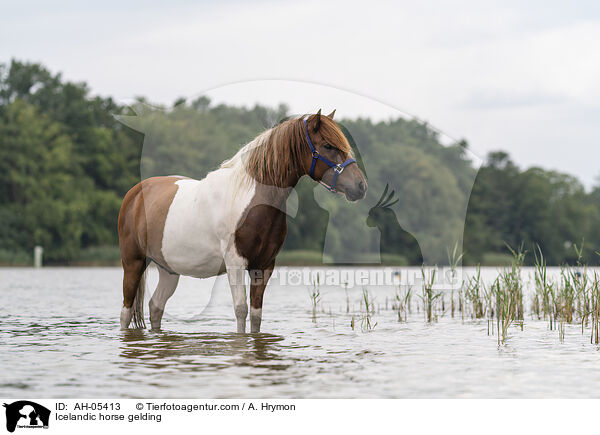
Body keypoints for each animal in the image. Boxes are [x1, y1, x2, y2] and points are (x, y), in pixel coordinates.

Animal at [117, 110, 366, 334]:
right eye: (328, 146)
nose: (360, 186)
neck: (252, 200)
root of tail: (135, 194)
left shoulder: (263, 265)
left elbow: (256, 315)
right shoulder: (235, 263)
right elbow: (240, 310)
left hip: (168, 270)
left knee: (155, 306)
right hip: (133, 262)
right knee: (126, 312)